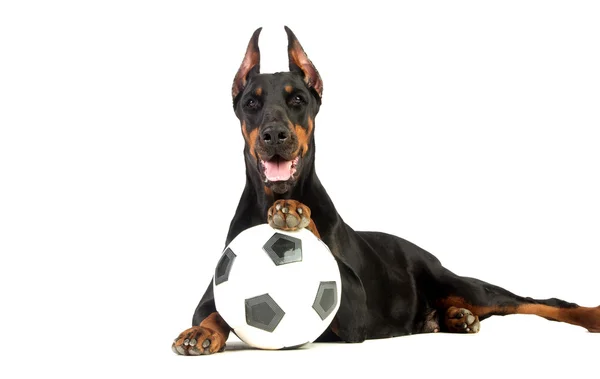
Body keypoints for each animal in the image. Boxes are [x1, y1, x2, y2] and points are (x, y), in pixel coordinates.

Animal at [171, 26, 596, 356]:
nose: (275, 135)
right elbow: (212, 312)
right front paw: (200, 333)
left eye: (298, 100)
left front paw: (296, 212)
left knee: (541, 303)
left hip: (464, 285)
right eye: (251, 103)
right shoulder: (211, 292)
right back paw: (456, 318)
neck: (274, 195)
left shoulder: (354, 312)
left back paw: (587, 315)